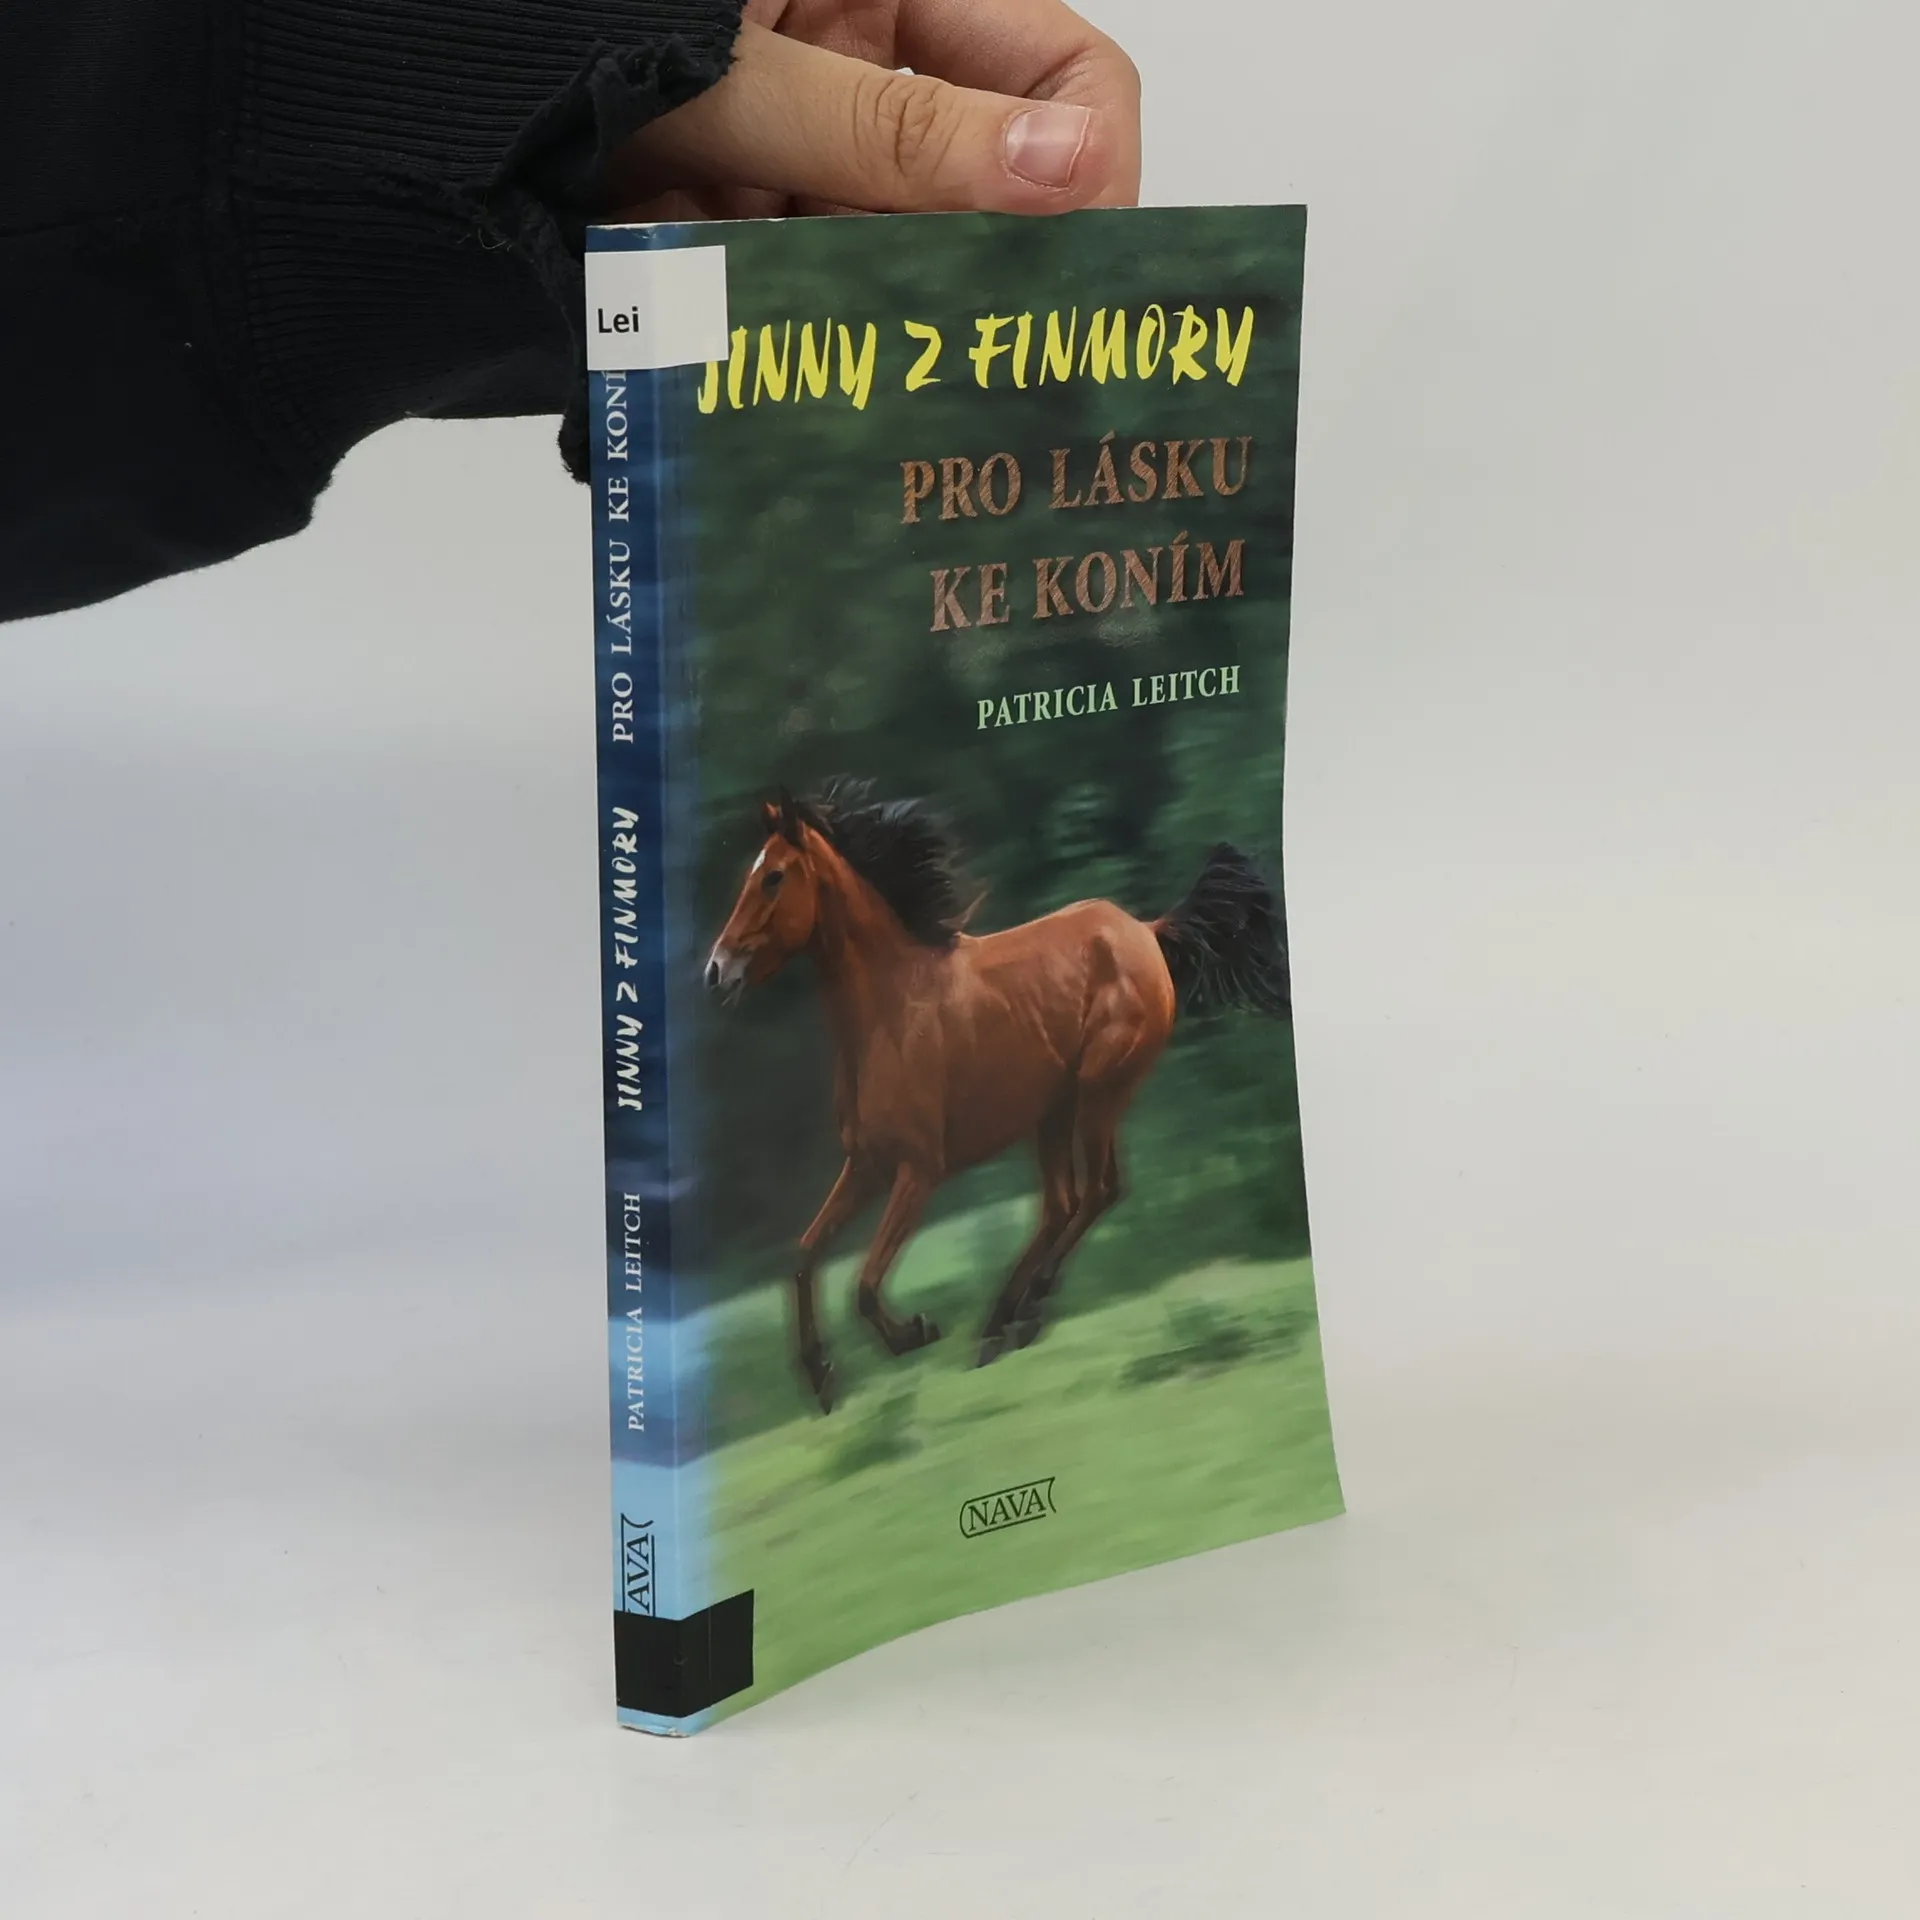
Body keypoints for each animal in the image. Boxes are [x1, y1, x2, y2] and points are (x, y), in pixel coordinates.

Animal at [703, 781, 1291, 1412]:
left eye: (773, 877)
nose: (717, 970)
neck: (891, 1012)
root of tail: (1146, 932)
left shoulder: (918, 1171)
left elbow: (863, 1284)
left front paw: (915, 1332)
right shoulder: (864, 1166)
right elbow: (806, 1254)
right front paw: (820, 1375)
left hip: (1098, 1095)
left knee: (1099, 1192)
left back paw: (1019, 1314)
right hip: (1053, 1113)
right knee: (1061, 1205)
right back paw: (1001, 1324)